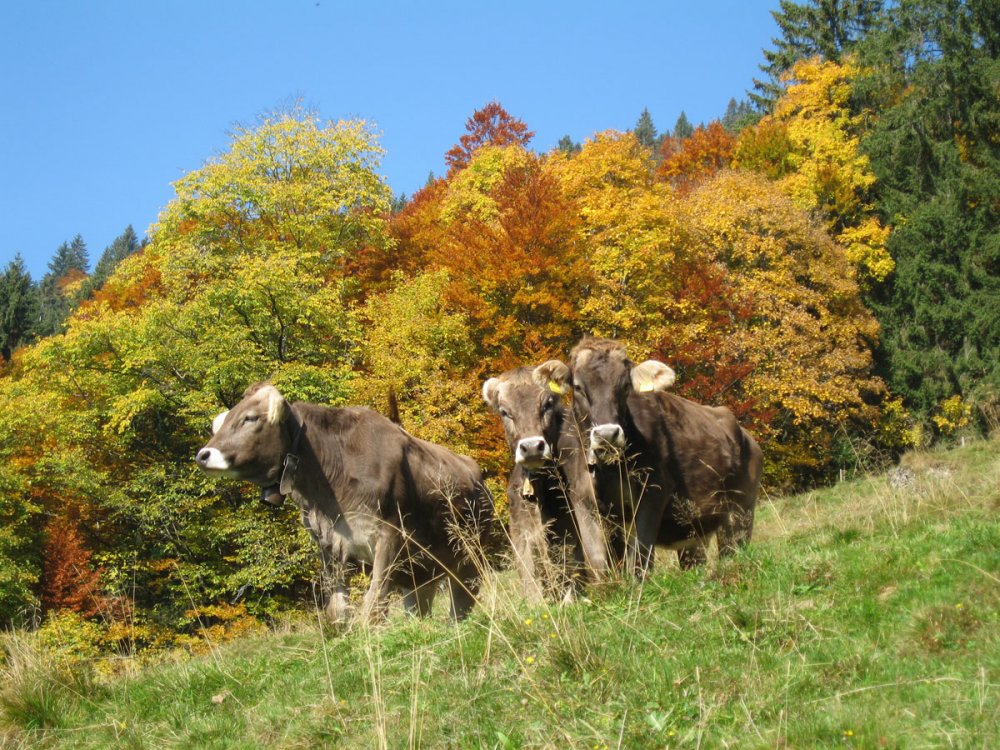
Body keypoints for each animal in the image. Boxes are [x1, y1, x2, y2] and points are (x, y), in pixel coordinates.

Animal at [195, 382, 493, 622]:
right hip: (421, 570)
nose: (203, 455)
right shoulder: (328, 545)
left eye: (250, 418)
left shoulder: (390, 537)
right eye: (221, 422)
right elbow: (337, 609)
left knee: (462, 602)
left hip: (469, 556)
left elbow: (373, 604)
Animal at [535, 337, 763, 578]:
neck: (609, 471)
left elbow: (639, 559)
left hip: (740, 511)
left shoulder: (653, 492)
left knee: (732, 550)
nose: (607, 434)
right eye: (578, 387)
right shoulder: (582, 499)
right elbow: (599, 562)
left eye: (625, 385)